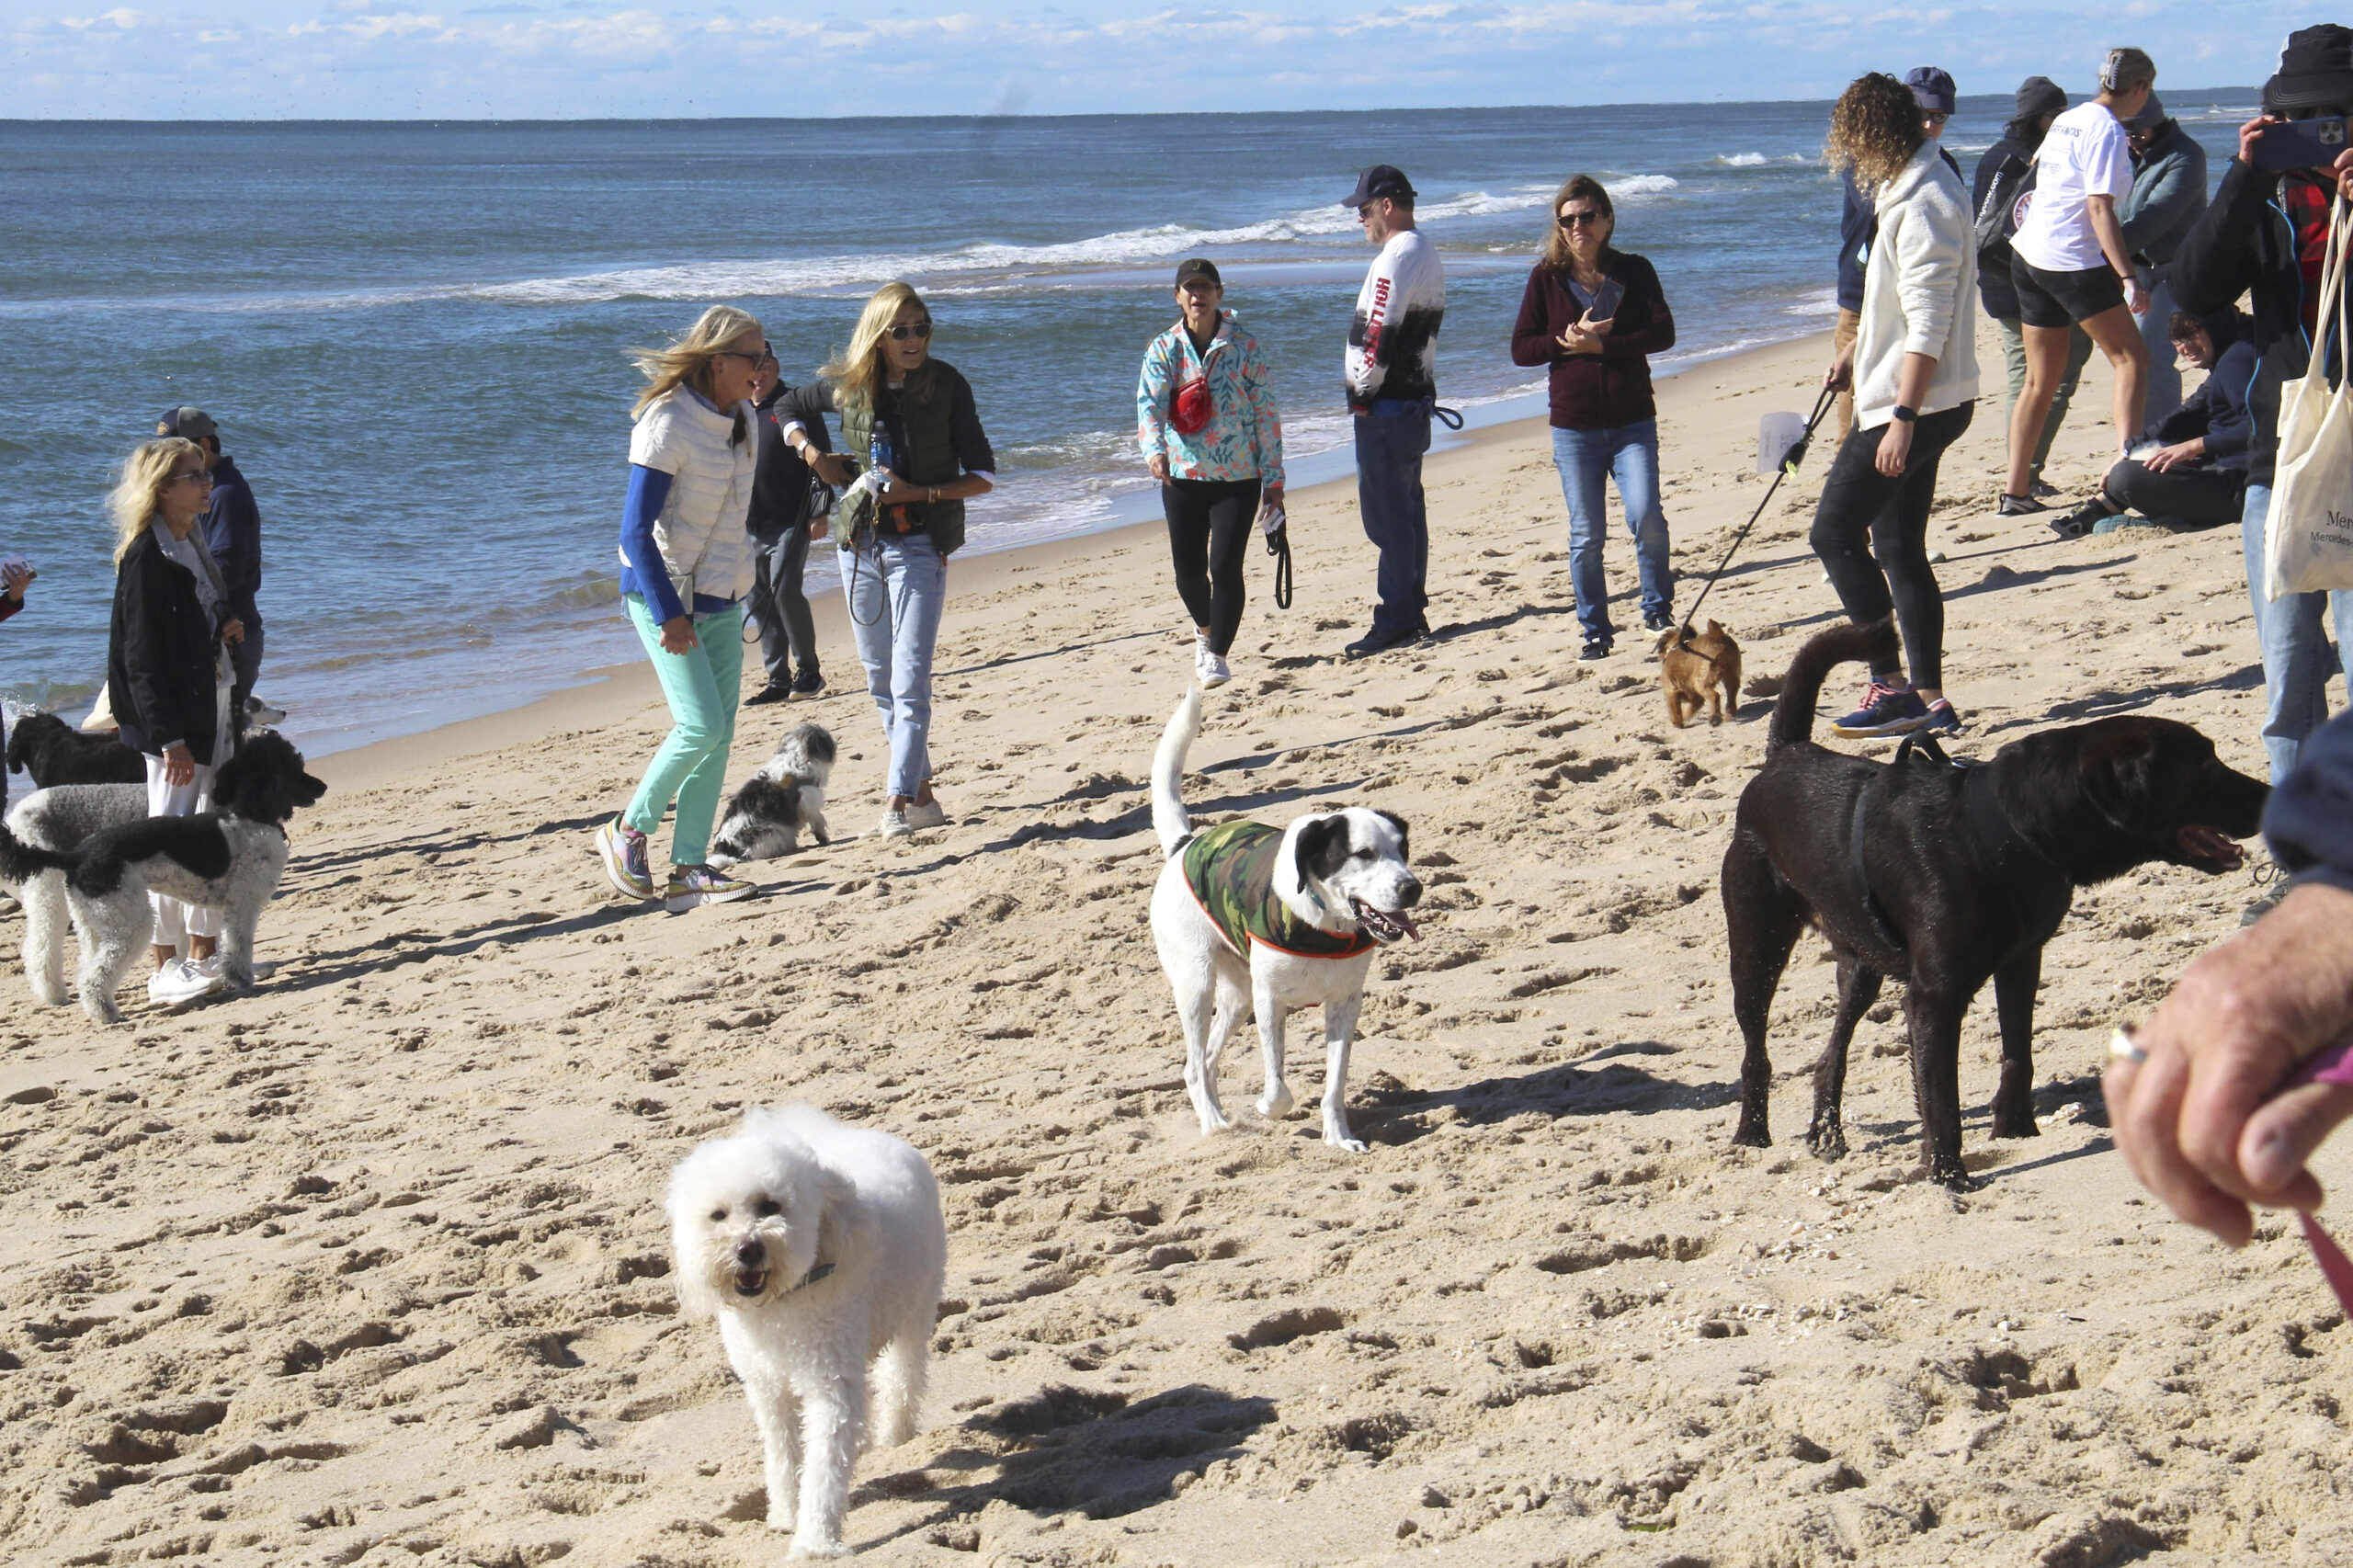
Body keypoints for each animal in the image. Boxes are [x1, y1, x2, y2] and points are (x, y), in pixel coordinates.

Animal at [663, 1096, 946, 1553]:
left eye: (770, 1206)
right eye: (717, 1215)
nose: (748, 1249)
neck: (783, 1299)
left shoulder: (830, 1383)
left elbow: (824, 1467)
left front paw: (815, 1541)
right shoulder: (767, 1387)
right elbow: (783, 1453)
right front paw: (784, 1515)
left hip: (918, 1306)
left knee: (902, 1372)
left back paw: (894, 1434)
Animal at [710, 724, 842, 866]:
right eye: (827, 738)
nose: (836, 740)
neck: (797, 760)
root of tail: (727, 847)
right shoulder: (808, 800)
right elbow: (818, 821)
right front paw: (823, 838)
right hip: (769, 831)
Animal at [1148, 682, 1421, 1149]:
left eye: (1402, 851)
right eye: (1363, 854)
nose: (1412, 888)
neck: (1325, 925)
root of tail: (1184, 845)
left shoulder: (1345, 1003)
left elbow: (1334, 1084)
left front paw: (1338, 1138)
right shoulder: (1269, 999)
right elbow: (1278, 1087)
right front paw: (1265, 1109)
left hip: (1237, 996)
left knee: (1205, 1059)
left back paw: (1219, 1116)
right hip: (1196, 983)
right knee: (1194, 1065)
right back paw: (1213, 1124)